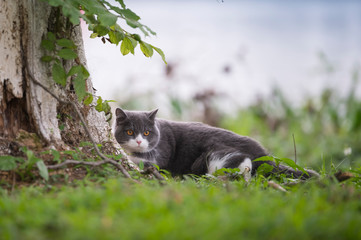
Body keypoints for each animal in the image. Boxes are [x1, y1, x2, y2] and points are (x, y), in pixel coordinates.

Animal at [113, 108, 318, 179]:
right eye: (130, 132)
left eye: (147, 132)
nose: (139, 141)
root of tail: (264, 154)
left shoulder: (161, 151)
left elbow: (147, 161)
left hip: (214, 157)